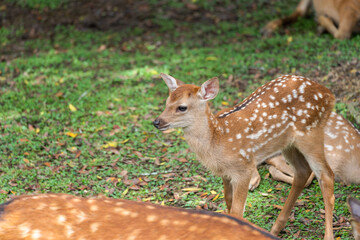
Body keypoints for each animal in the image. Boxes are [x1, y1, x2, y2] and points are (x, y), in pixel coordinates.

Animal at [153, 73, 336, 238]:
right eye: (167, 103)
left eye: (182, 107)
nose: (157, 121)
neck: (216, 139)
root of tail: (329, 94)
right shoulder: (225, 174)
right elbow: (228, 201)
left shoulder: (243, 168)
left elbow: (237, 212)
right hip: (288, 144)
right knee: (302, 172)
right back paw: (275, 229)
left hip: (311, 134)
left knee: (326, 175)